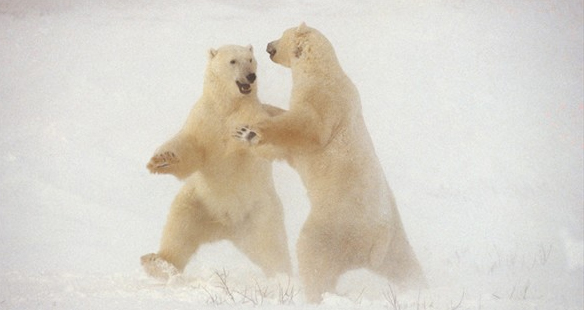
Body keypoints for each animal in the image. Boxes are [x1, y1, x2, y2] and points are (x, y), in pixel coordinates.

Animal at [141, 44, 292, 280]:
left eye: (250, 59)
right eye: (233, 61)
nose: (251, 75)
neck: (228, 106)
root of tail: (225, 227)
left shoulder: (251, 113)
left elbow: (265, 142)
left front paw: (250, 136)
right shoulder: (205, 119)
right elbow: (191, 148)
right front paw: (162, 160)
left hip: (261, 212)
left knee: (272, 247)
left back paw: (283, 278)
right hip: (198, 204)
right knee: (179, 230)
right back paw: (159, 264)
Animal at [235, 24, 426, 302]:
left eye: (282, 34)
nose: (268, 44)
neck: (322, 70)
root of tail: (374, 244)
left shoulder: (323, 98)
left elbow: (306, 127)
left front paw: (250, 132)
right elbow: (287, 142)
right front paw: (252, 124)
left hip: (332, 225)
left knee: (312, 254)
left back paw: (313, 294)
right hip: (394, 237)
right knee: (403, 263)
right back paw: (419, 286)